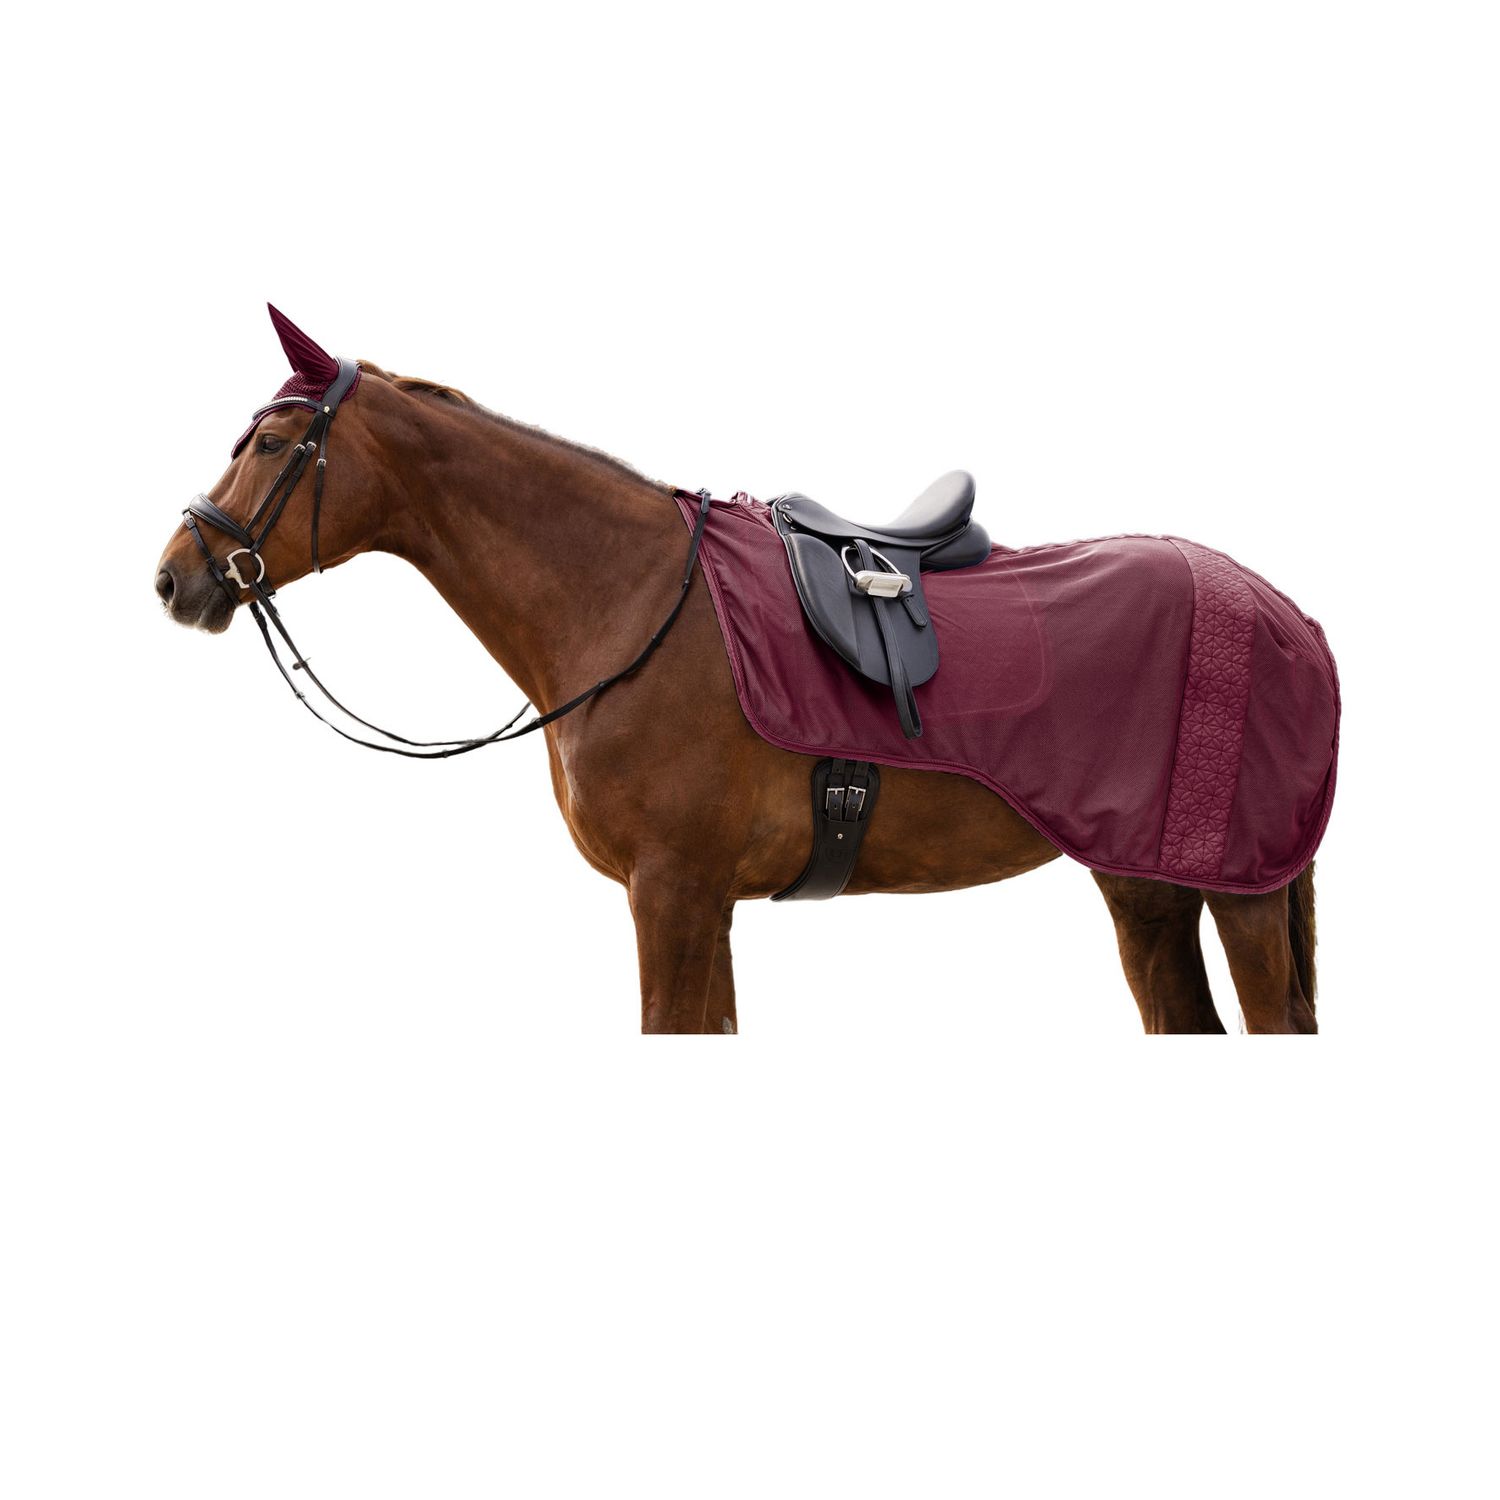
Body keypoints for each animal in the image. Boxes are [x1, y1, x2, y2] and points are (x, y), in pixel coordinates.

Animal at [156, 310, 1323, 1035]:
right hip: (1148, 893)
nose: (177, 576)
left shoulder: (674, 893)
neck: (629, 599)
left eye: (272, 442)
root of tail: (1283, 610)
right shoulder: (697, 902)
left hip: (1245, 895)